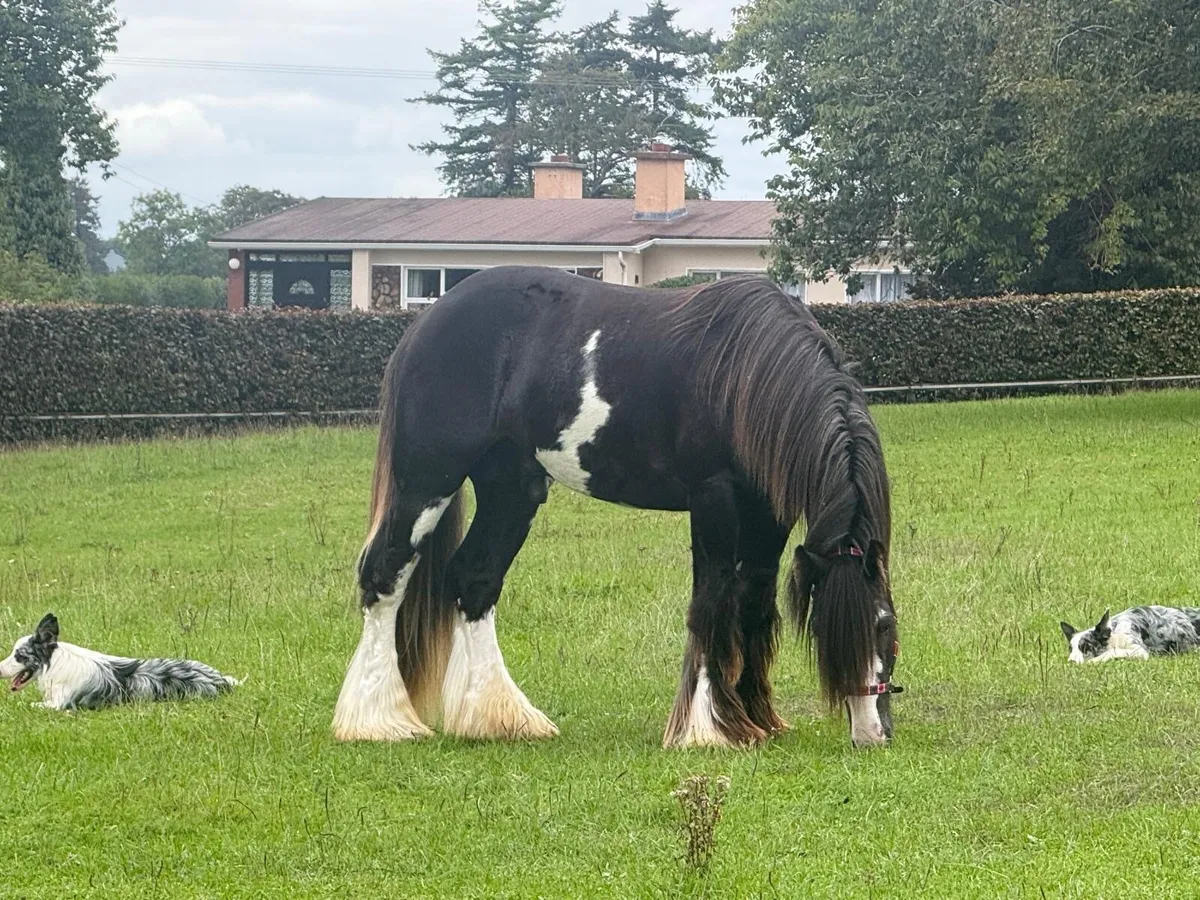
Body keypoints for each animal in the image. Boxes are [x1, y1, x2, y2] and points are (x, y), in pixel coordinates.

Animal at [331, 265, 899, 749]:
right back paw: (377, 721)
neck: (745, 372)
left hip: (511, 489)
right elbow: (712, 600)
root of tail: (424, 324)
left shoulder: (768, 512)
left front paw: (756, 719)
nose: (874, 733)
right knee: (384, 574)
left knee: (474, 579)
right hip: (428, 480)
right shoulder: (712, 497)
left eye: (885, 626)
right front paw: (707, 730)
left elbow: (754, 603)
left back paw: (499, 718)